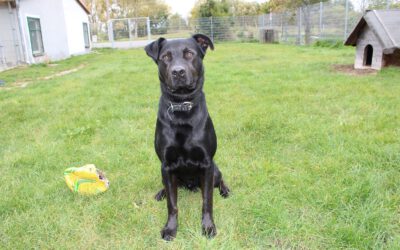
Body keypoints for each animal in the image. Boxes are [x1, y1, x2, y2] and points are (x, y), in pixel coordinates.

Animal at [145, 33, 230, 240]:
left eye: (190, 54)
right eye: (165, 57)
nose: (178, 72)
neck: (181, 107)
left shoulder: (207, 164)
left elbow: (207, 201)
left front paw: (208, 227)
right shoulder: (166, 166)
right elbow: (172, 204)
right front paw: (170, 228)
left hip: (215, 170)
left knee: (220, 179)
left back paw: (225, 189)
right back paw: (161, 193)